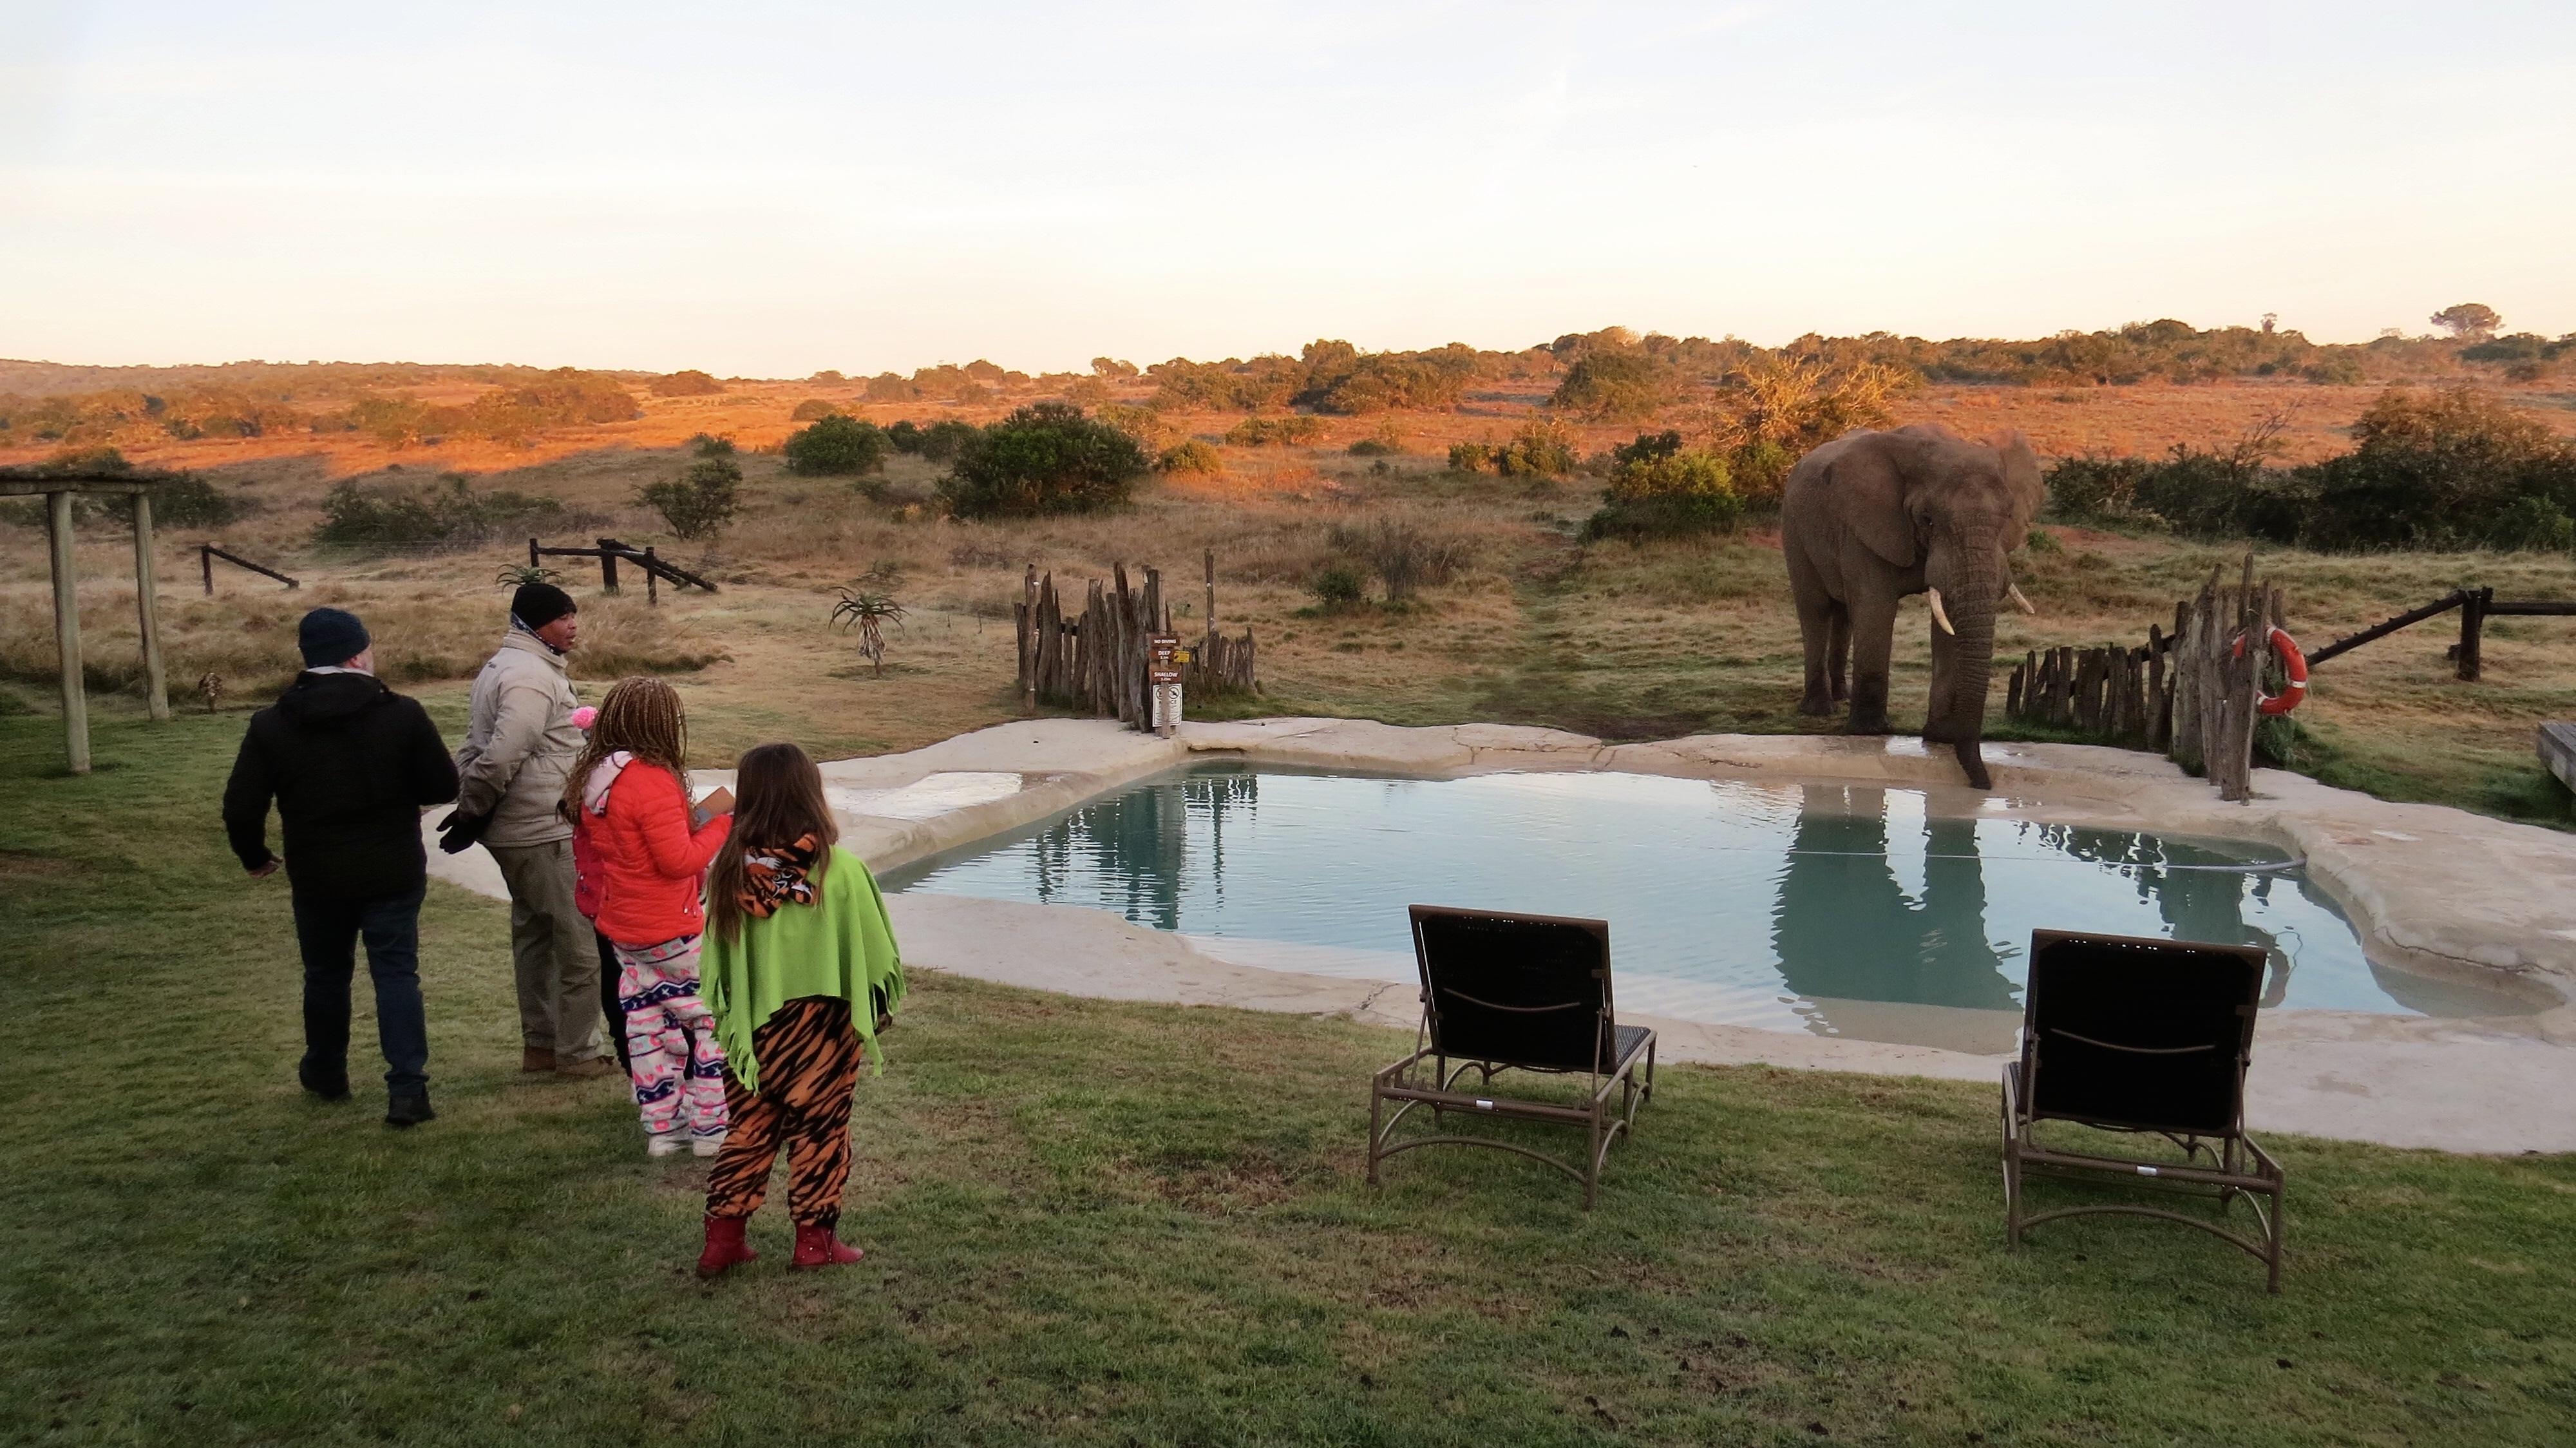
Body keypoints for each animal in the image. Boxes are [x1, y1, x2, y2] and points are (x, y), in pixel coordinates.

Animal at [1783, 423, 2040, 788]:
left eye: (2006, 517)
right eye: (1928, 519)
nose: (1984, 786)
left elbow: (1946, 623)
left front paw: (1940, 736)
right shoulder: (1867, 527)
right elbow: (1875, 608)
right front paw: (1869, 732)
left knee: (1844, 614)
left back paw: (1842, 696)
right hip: (1793, 527)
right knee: (1815, 609)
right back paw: (1820, 709)